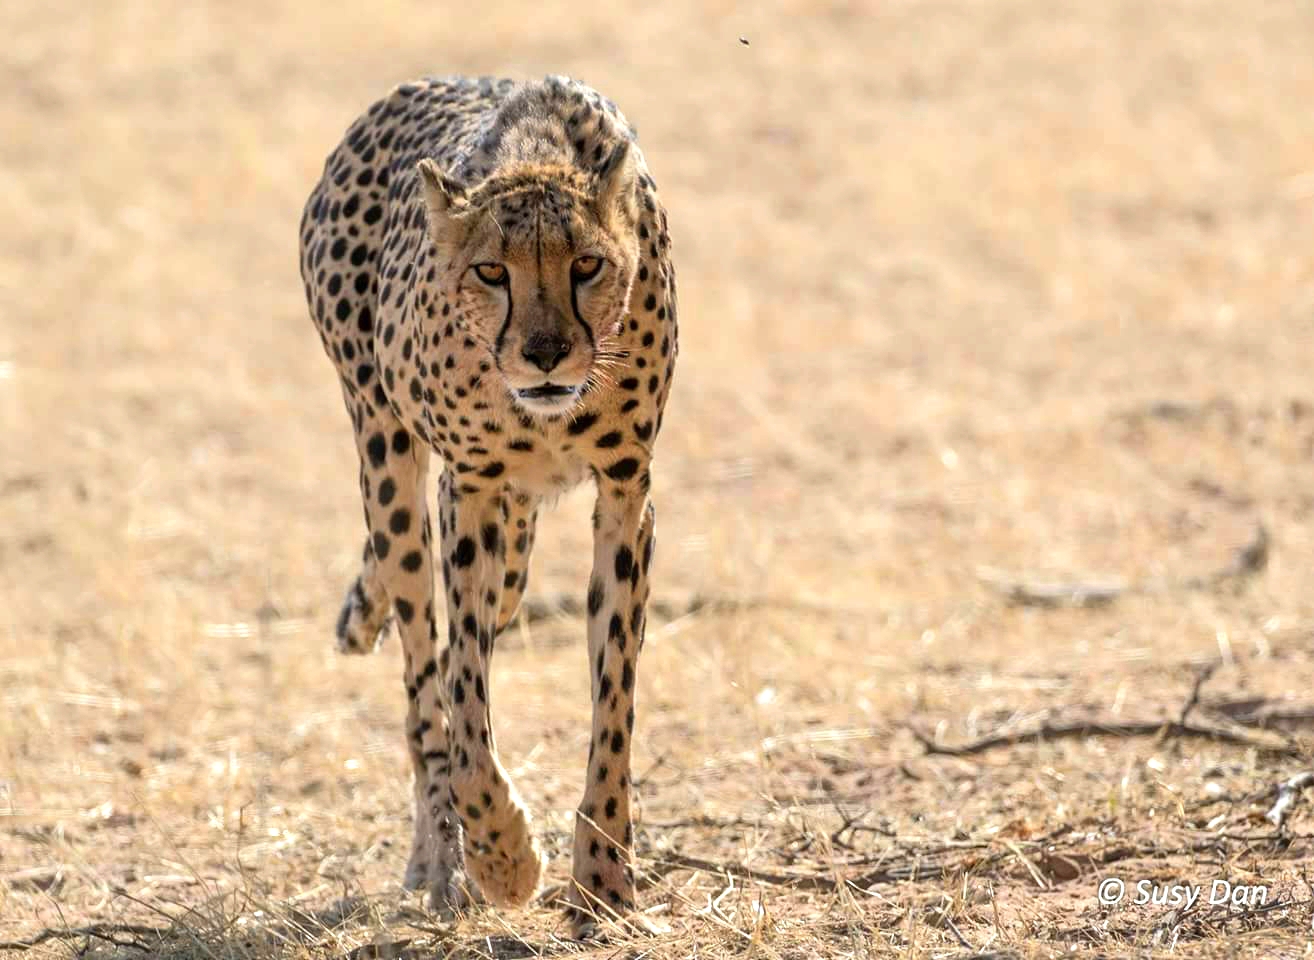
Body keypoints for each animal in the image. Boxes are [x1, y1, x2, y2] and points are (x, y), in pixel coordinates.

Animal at [297, 74, 678, 937]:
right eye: (492, 273)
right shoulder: (468, 489)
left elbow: (613, 704)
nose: (545, 354)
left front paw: (603, 881)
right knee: (421, 680)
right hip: (388, 459)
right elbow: (463, 702)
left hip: (511, 540)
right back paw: (443, 865)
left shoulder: (625, 489)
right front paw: (504, 858)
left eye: (588, 265)